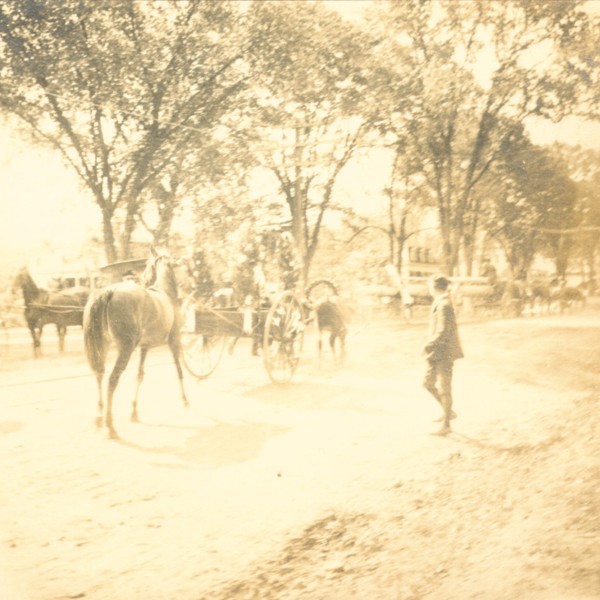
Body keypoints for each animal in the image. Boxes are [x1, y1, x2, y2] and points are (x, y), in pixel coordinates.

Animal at [83, 246, 188, 438]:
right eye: (148, 265)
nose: (144, 280)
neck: (165, 293)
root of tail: (109, 292)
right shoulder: (175, 341)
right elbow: (179, 369)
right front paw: (185, 399)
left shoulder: (144, 347)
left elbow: (140, 375)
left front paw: (134, 411)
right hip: (125, 348)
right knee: (112, 380)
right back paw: (109, 424)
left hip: (103, 346)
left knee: (99, 374)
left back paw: (99, 415)